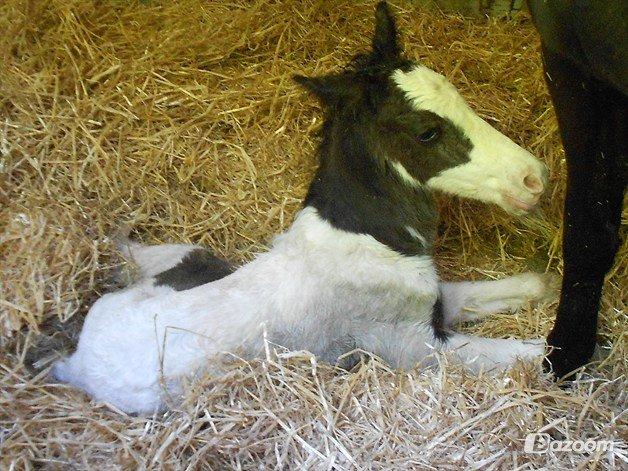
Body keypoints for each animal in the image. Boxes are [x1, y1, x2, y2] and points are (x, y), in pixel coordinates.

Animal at [52, 4, 556, 416]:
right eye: (427, 132)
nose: (534, 178)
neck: (363, 240)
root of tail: (74, 360)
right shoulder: (416, 347)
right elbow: (530, 354)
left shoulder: (429, 305)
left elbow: (496, 290)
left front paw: (549, 282)